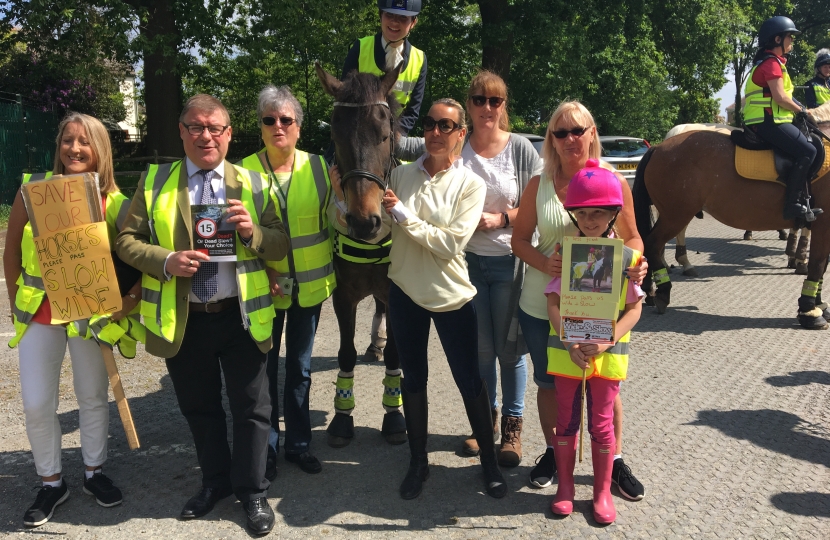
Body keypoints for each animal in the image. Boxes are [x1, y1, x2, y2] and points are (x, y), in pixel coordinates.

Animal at [632, 122, 828, 330]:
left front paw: (820, 305)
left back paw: (651, 290)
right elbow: (818, 264)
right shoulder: (823, 225)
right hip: (676, 215)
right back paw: (663, 291)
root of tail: (658, 147)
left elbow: (822, 266)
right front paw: (810, 312)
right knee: (653, 244)